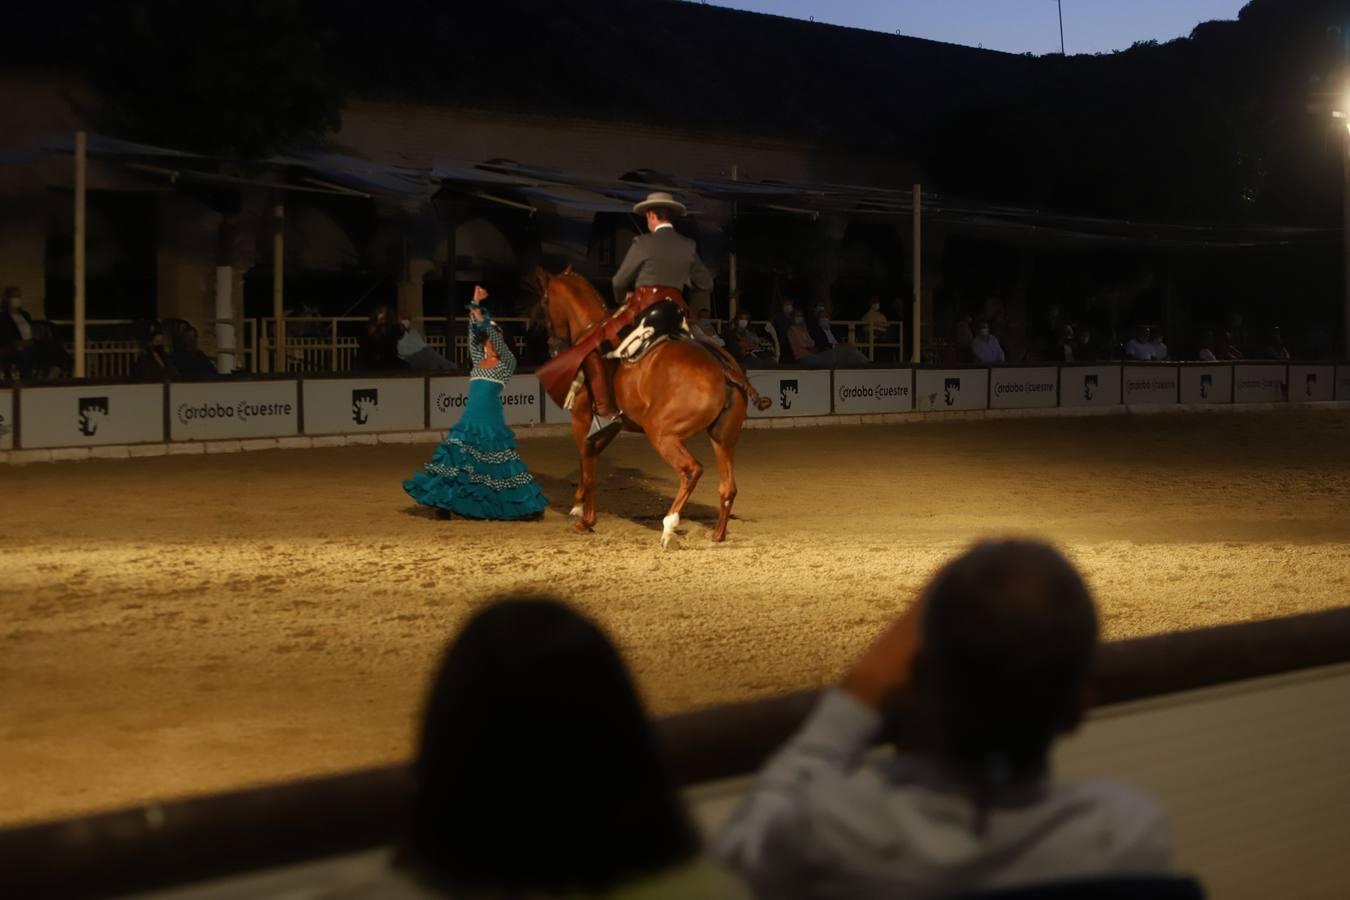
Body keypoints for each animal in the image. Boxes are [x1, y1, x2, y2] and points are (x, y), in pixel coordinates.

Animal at [537, 267, 750, 550]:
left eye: (545, 301)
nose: (551, 342)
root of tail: (722, 368)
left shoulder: (581, 420)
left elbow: (588, 464)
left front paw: (584, 518)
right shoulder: (610, 427)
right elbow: (590, 459)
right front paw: (579, 507)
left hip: (661, 433)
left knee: (691, 470)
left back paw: (669, 527)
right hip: (723, 439)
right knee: (728, 488)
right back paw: (716, 534)